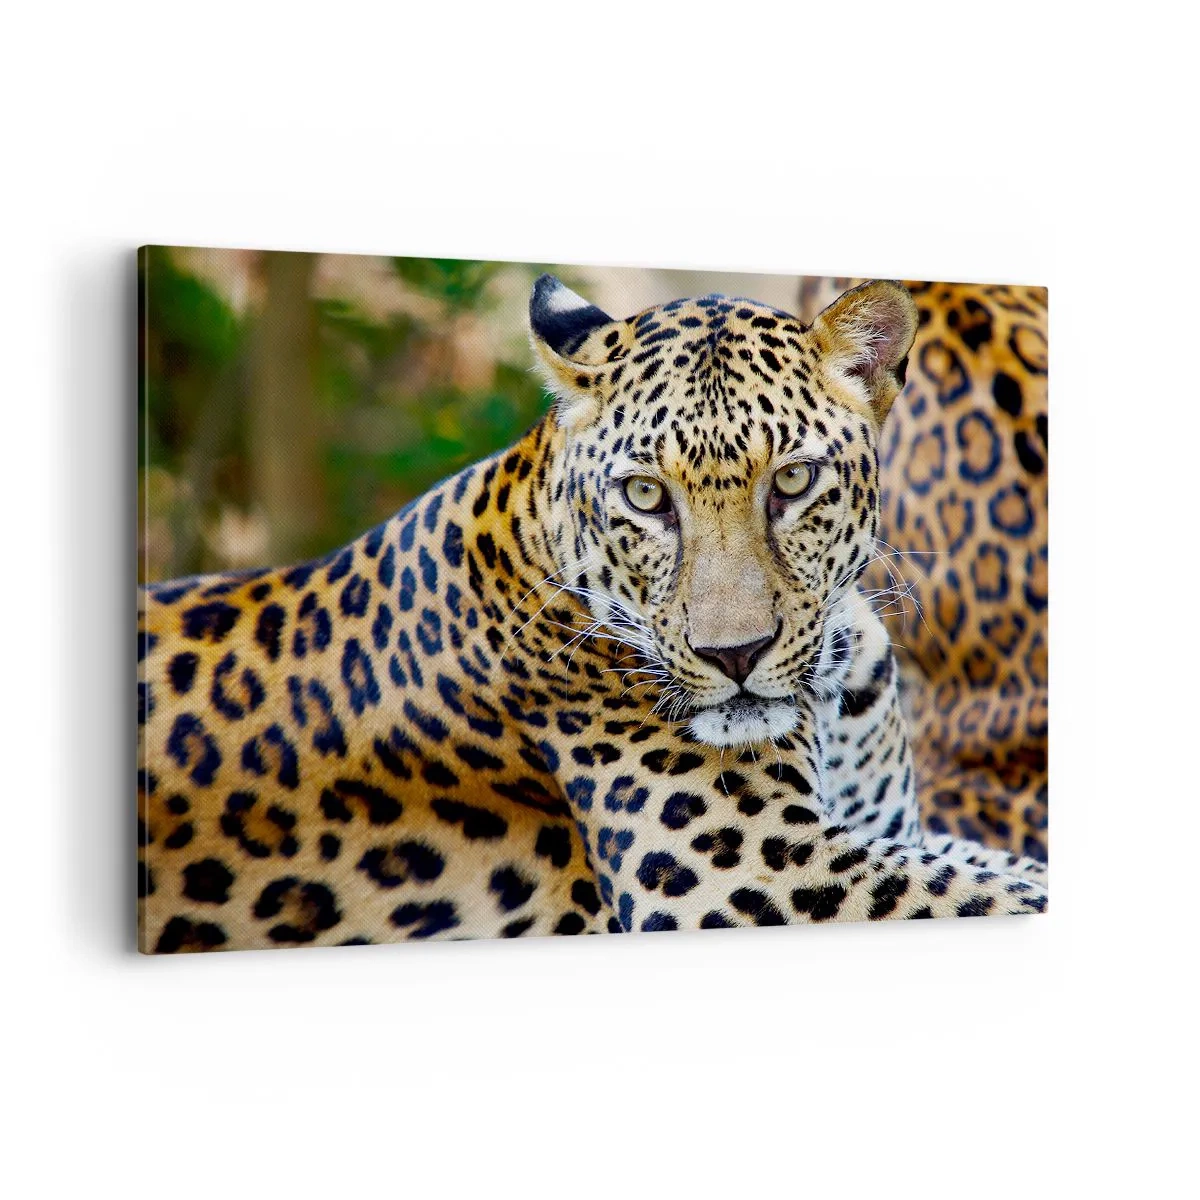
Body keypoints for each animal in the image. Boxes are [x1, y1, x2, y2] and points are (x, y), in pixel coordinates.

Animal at [137, 274, 1047, 952]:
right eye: (645, 496)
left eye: (791, 481)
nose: (735, 655)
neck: (832, 688)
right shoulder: (760, 875)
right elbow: (1004, 894)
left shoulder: (888, 830)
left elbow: (1013, 868)